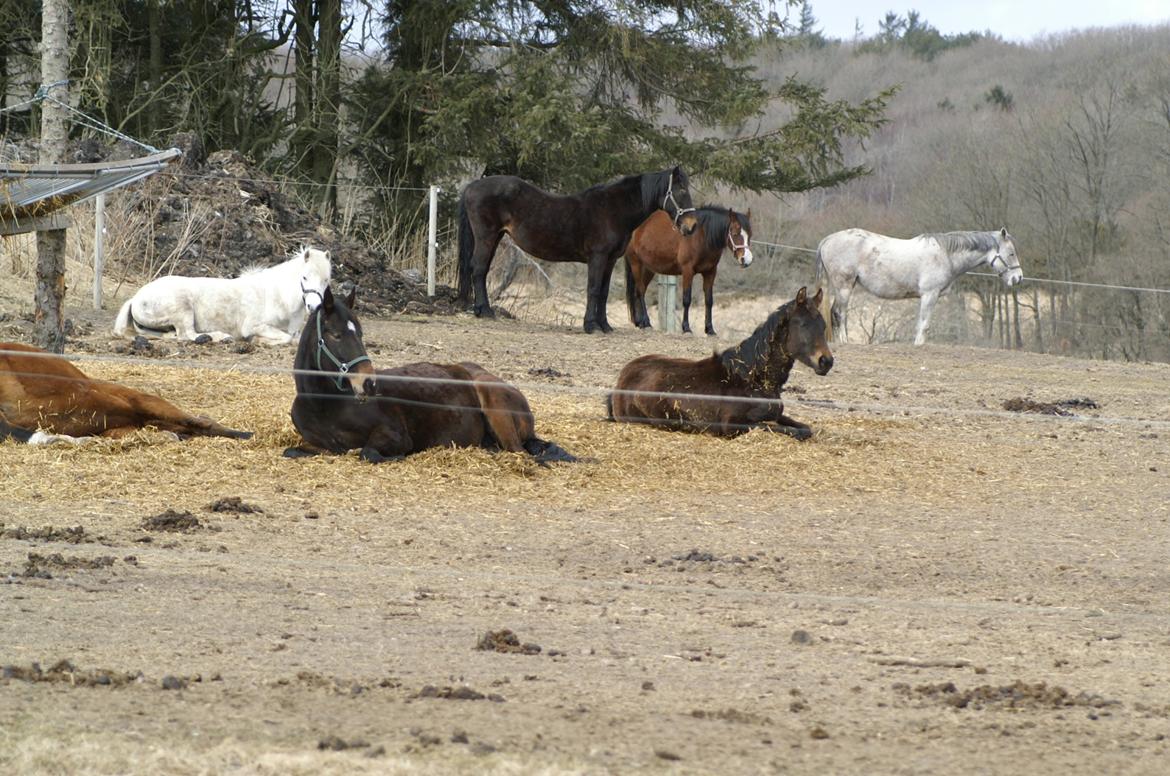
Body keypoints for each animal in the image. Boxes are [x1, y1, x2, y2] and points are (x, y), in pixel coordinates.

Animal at [114, 245, 332, 344]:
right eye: (304, 277)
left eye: (326, 280)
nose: (314, 306)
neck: (277, 297)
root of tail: (136, 298)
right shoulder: (254, 325)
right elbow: (284, 338)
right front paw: (257, 341)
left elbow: (293, 338)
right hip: (182, 310)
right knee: (187, 335)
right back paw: (221, 337)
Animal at [283, 287, 575, 463]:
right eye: (335, 335)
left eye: (361, 334)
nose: (369, 383)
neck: (326, 406)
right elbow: (291, 450)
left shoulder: (395, 435)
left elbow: (367, 452)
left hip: (496, 408)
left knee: (519, 452)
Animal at [453, 167, 692, 330]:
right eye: (680, 190)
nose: (691, 226)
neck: (613, 210)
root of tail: (472, 187)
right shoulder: (597, 257)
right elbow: (593, 289)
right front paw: (591, 325)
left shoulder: (610, 260)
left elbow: (603, 292)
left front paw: (604, 325)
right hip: (486, 237)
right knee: (479, 270)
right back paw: (485, 311)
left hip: (494, 238)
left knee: (480, 270)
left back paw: (480, 309)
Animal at [608, 286, 837, 442]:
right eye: (803, 324)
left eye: (823, 325)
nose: (826, 361)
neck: (754, 379)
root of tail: (623, 377)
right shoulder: (733, 425)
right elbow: (789, 430)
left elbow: (803, 428)